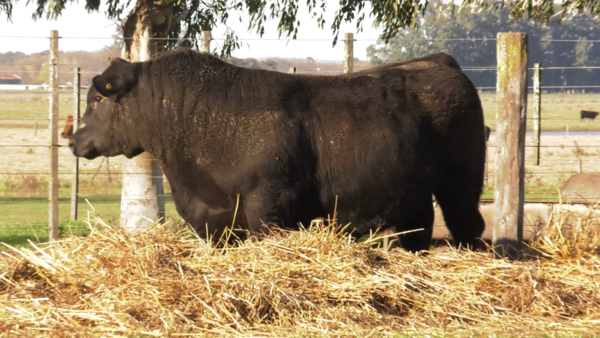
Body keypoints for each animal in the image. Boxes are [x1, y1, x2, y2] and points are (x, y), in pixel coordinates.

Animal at [69, 49, 488, 251]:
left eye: (96, 100)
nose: (73, 140)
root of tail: (439, 63)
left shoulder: (267, 205)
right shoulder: (213, 219)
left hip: (462, 185)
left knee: (469, 226)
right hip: (414, 194)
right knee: (418, 231)